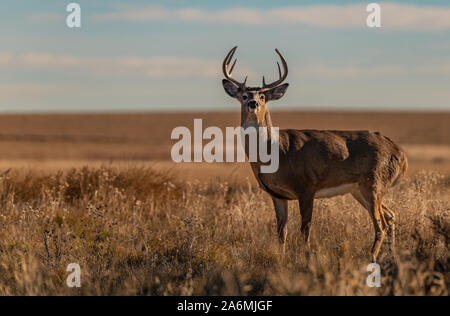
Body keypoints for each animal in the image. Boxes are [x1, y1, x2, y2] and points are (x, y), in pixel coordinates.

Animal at [221, 45, 408, 262]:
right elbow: (281, 232)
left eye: (263, 96)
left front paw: (308, 259)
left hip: (373, 184)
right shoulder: (277, 195)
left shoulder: (307, 187)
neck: (274, 152)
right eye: (243, 95)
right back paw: (391, 258)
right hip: (359, 190)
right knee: (391, 216)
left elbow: (305, 229)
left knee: (381, 225)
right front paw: (281, 260)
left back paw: (371, 258)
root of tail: (400, 154)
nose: (253, 103)